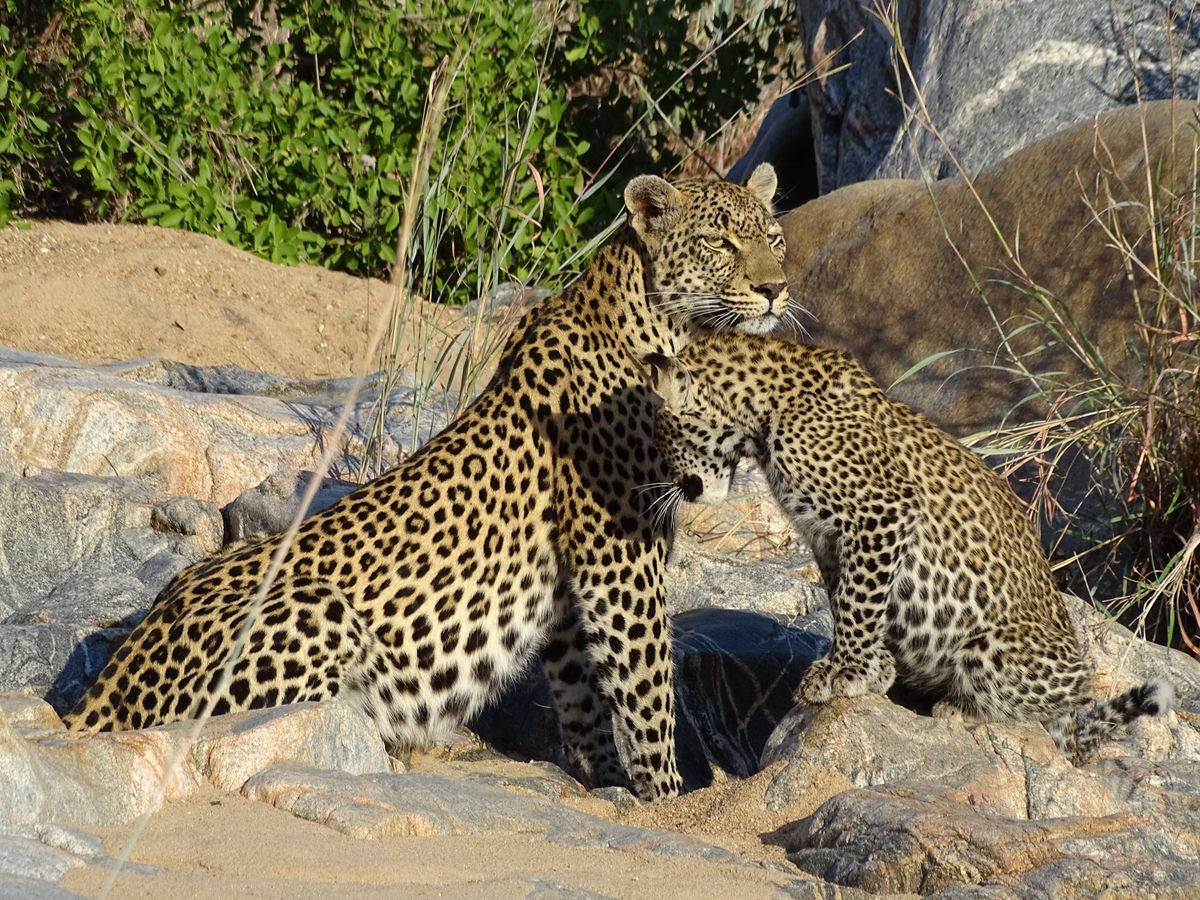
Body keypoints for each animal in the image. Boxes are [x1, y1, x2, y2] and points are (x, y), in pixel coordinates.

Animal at [62, 165, 791, 801]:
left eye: (773, 237)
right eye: (722, 242)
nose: (777, 289)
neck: (661, 327)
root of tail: (104, 692)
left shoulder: (571, 585)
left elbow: (583, 687)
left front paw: (606, 778)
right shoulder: (621, 555)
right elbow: (646, 687)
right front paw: (667, 796)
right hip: (321, 611)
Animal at [644, 332, 1174, 764]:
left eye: (665, 437)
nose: (682, 490)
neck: (763, 410)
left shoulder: (883, 510)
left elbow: (859, 601)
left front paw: (848, 670)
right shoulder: (828, 537)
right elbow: (849, 598)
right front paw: (873, 667)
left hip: (991, 649)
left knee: (1035, 716)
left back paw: (958, 709)